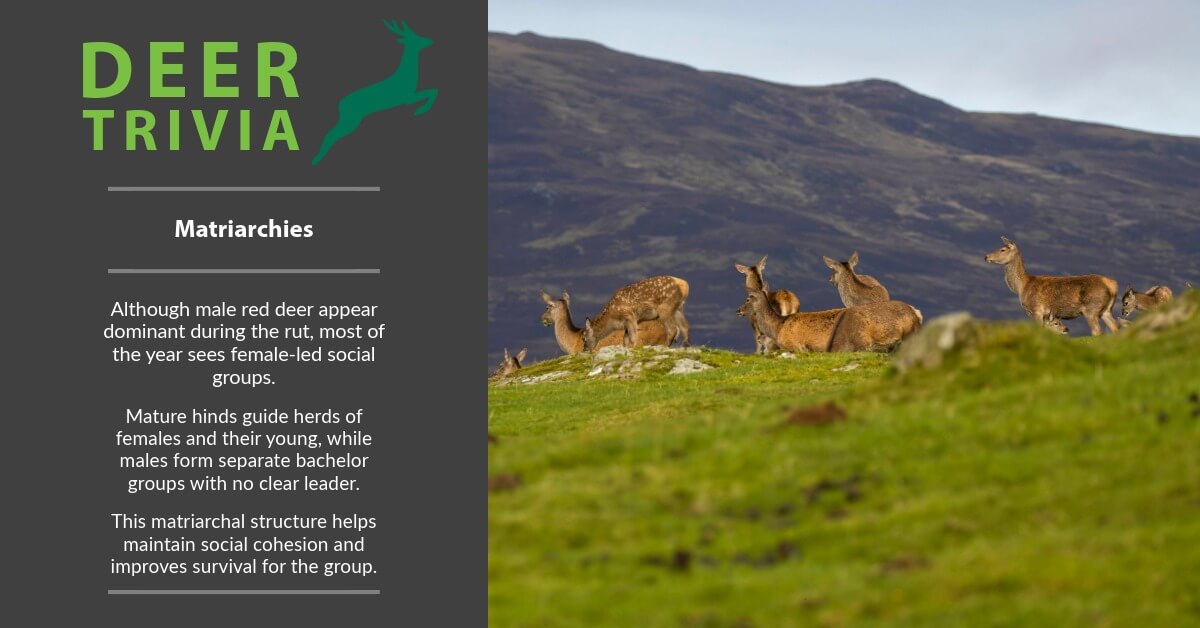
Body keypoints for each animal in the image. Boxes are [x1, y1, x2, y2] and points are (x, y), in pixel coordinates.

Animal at [311, 20, 439, 165]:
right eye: (415, 38)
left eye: (418, 34)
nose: (431, 40)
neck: (407, 77)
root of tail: (340, 105)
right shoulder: (405, 98)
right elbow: (432, 91)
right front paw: (420, 111)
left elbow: (434, 90)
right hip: (351, 119)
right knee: (332, 134)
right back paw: (316, 159)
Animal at [984, 236, 1119, 335]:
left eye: (1003, 249)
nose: (986, 256)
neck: (1022, 287)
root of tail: (1113, 285)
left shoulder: (1037, 309)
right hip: (1106, 310)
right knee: (1115, 329)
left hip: (1091, 309)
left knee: (1097, 332)